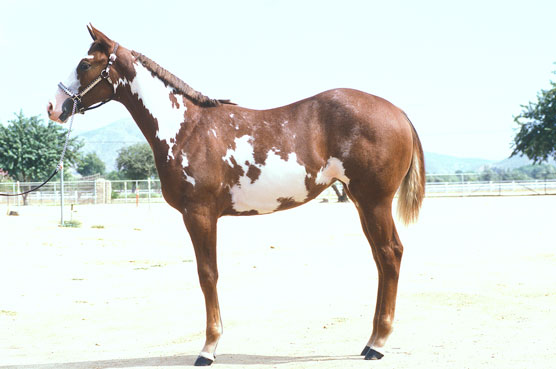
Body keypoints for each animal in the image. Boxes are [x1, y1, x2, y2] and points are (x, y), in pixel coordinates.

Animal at [46, 25, 426, 366]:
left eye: (84, 64)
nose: (53, 106)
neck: (186, 128)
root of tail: (398, 113)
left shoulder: (199, 214)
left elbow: (207, 274)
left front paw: (208, 349)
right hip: (363, 203)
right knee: (381, 258)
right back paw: (371, 341)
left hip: (374, 201)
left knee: (390, 254)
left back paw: (378, 344)